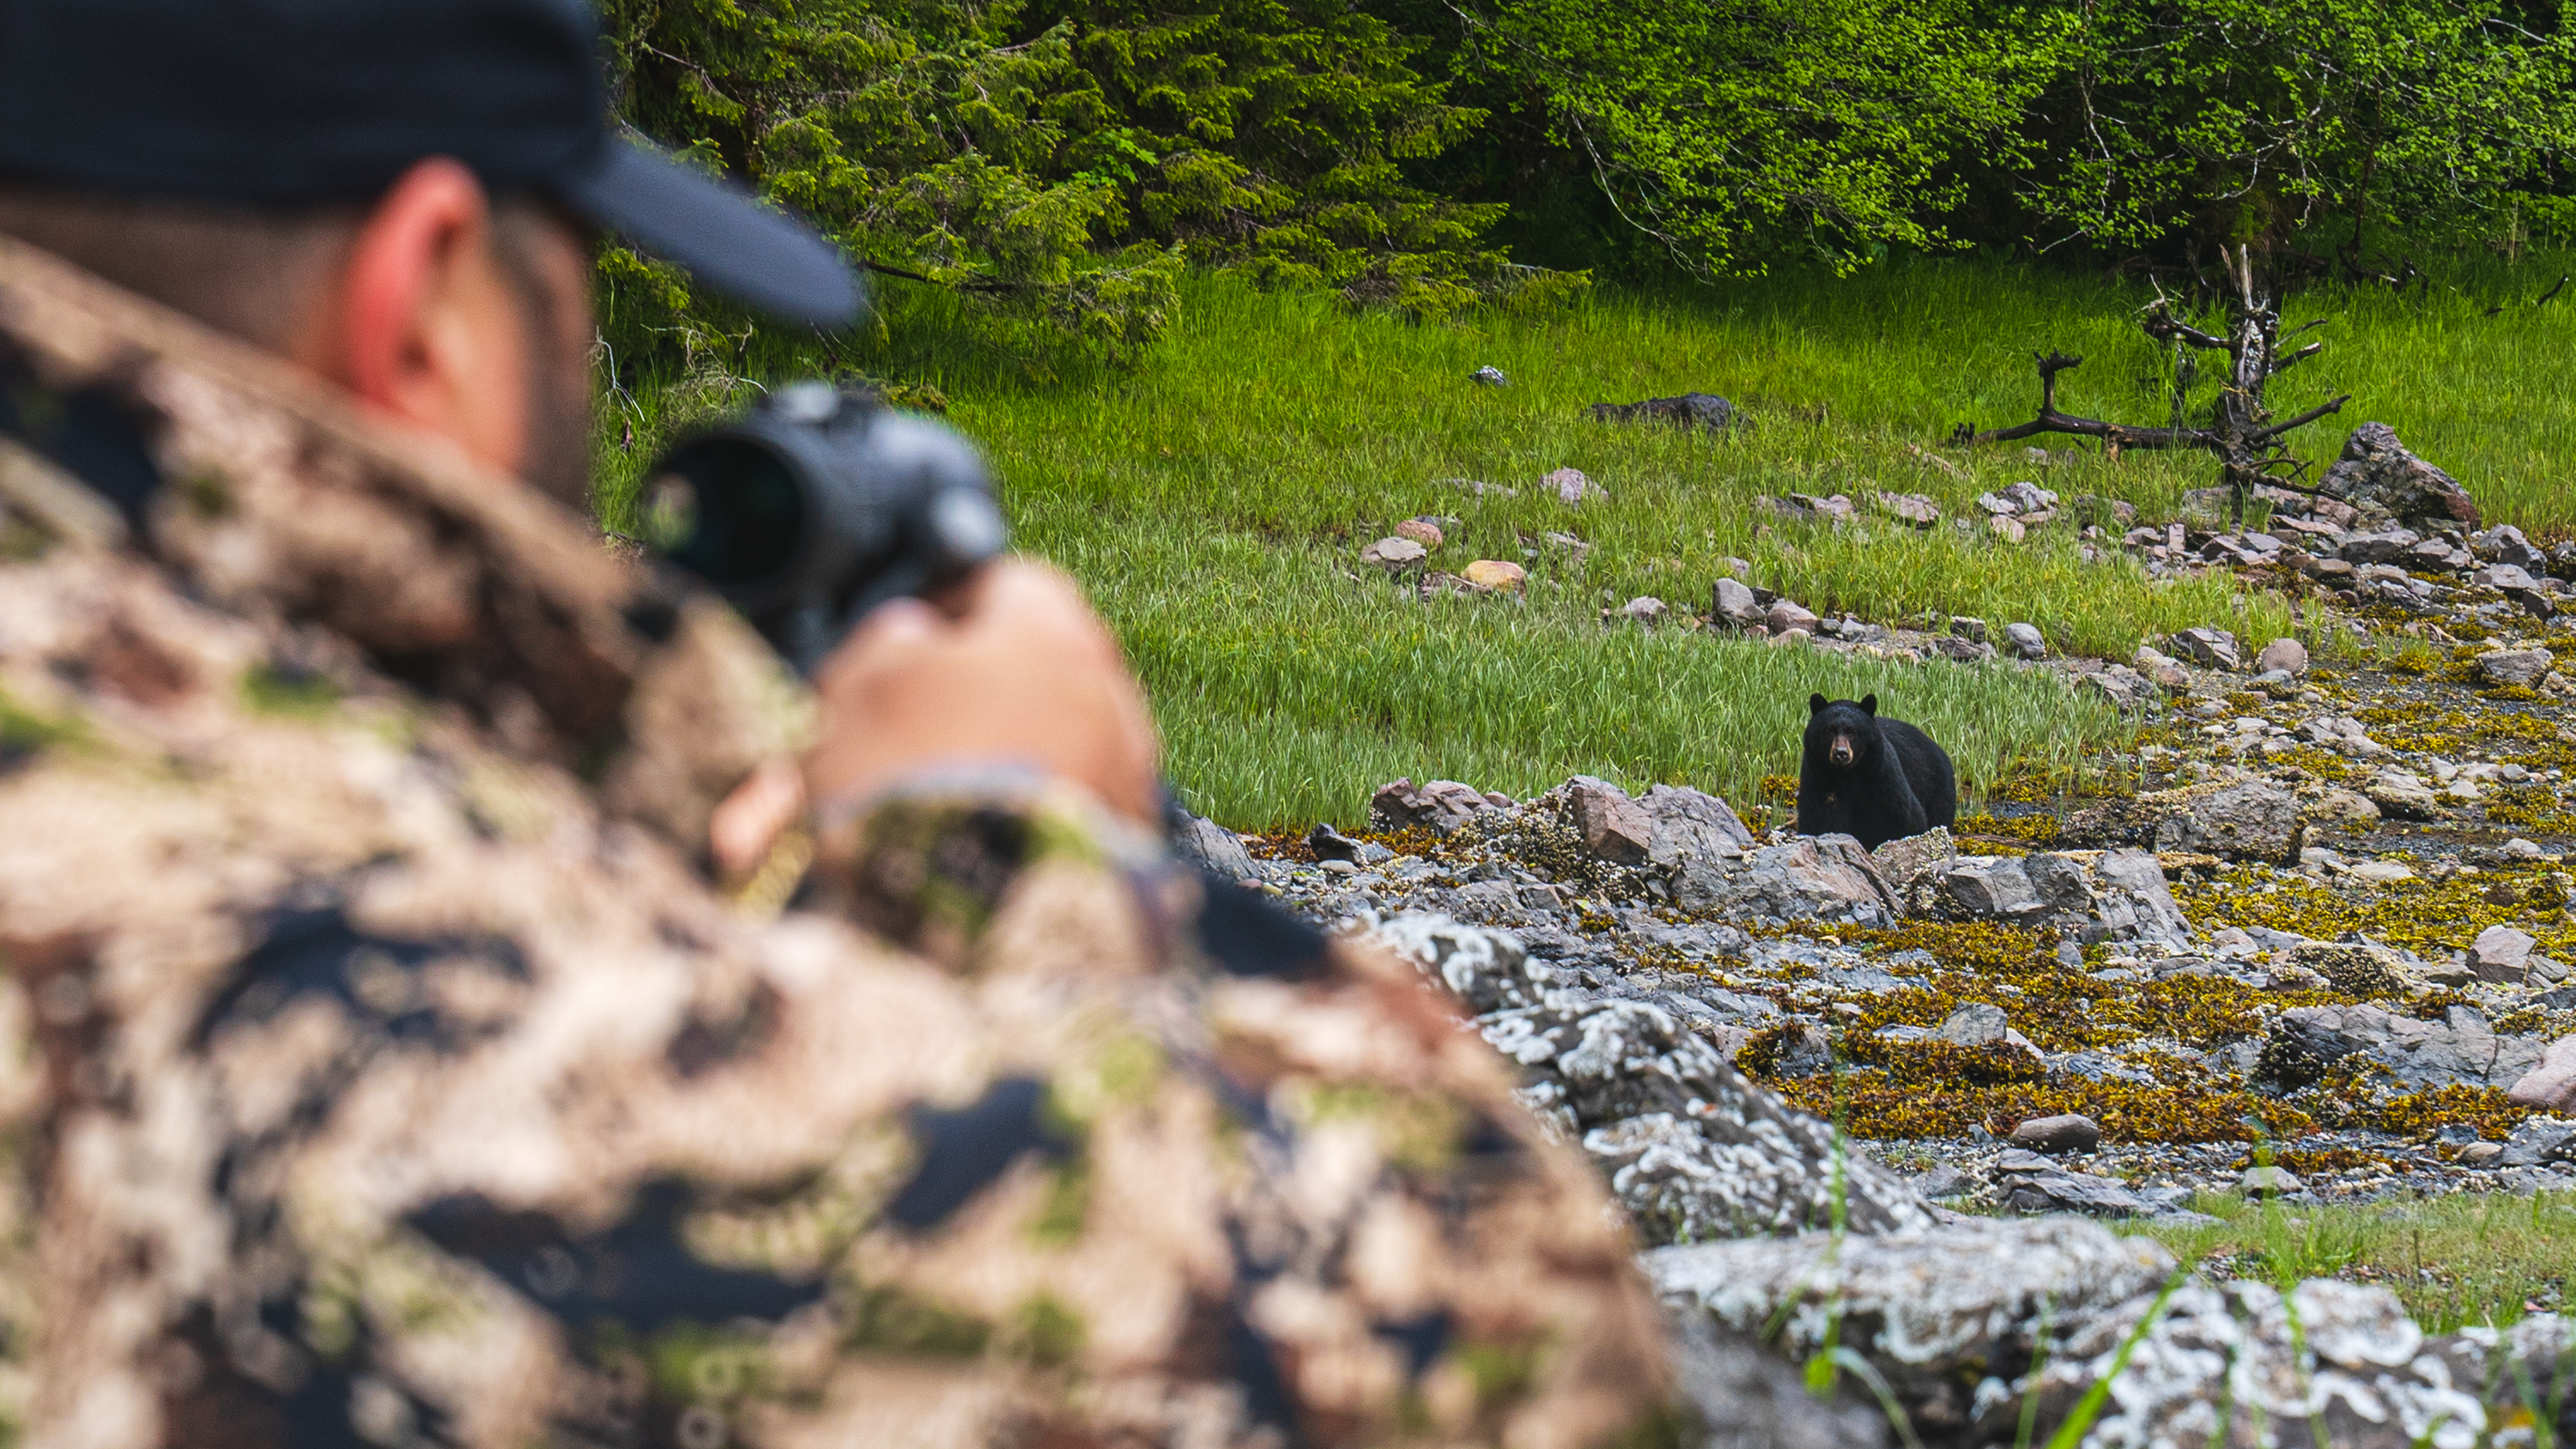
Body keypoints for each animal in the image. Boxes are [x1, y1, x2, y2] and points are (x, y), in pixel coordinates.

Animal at [1796, 693, 1956, 851]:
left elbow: (1907, 816)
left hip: (1937, 790)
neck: (1849, 774)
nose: (1841, 753)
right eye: (1829, 731)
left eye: (1853, 732)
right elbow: (1819, 819)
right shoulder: (1820, 779)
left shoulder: (1882, 777)